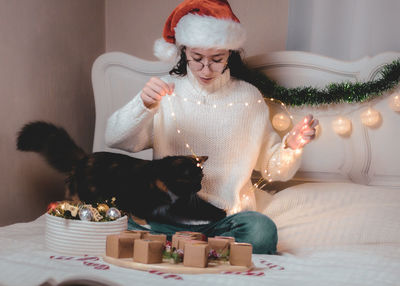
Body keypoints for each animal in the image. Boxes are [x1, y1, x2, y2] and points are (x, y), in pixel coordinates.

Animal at [16, 120, 225, 223]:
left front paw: (222, 212)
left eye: (202, 178)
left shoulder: (181, 203)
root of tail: (84, 158)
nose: (199, 187)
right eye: (194, 179)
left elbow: (204, 207)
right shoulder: (161, 206)